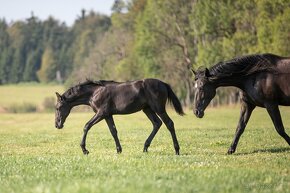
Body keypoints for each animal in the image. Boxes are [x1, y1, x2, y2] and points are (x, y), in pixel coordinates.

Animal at [55, 77, 185, 155]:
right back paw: (145, 147)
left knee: (169, 123)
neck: (94, 93)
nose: (57, 125)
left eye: (58, 107)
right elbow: (113, 131)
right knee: (157, 123)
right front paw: (119, 150)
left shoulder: (101, 113)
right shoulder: (107, 115)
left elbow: (87, 126)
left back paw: (177, 150)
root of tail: (163, 84)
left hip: (159, 108)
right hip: (147, 109)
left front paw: (84, 150)